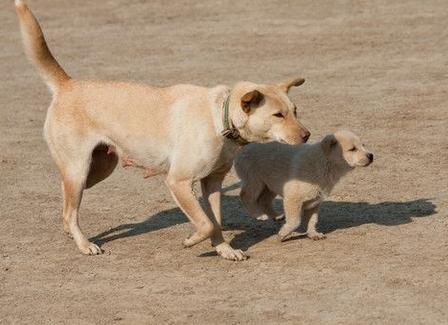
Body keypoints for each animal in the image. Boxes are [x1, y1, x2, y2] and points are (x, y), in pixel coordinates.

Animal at [15, 0, 312, 258]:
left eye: (295, 111)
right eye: (278, 115)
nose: (307, 135)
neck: (218, 117)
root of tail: (67, 84)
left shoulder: (212, 183)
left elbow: (214, 222)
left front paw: (224, 250)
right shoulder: (178, 182)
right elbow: (205, 223)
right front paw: (192, 240)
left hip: (96, 170)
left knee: (66, 203)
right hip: (79, 170)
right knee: (70, 210)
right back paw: (84, 244)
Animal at [233, 130, 372, 240]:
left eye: (363, 145)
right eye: (352, 149)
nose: (371, 156)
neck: (324, 162)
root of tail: (246, 145)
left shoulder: (314, 202)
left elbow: (313, 220)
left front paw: (313, 234)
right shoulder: (292, 199)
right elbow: (295, 221)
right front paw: (283, 234)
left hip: (270, 184)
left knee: (264, 200)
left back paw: (276, 216)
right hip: (255, 180)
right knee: (245, 196)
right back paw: (259, 214)